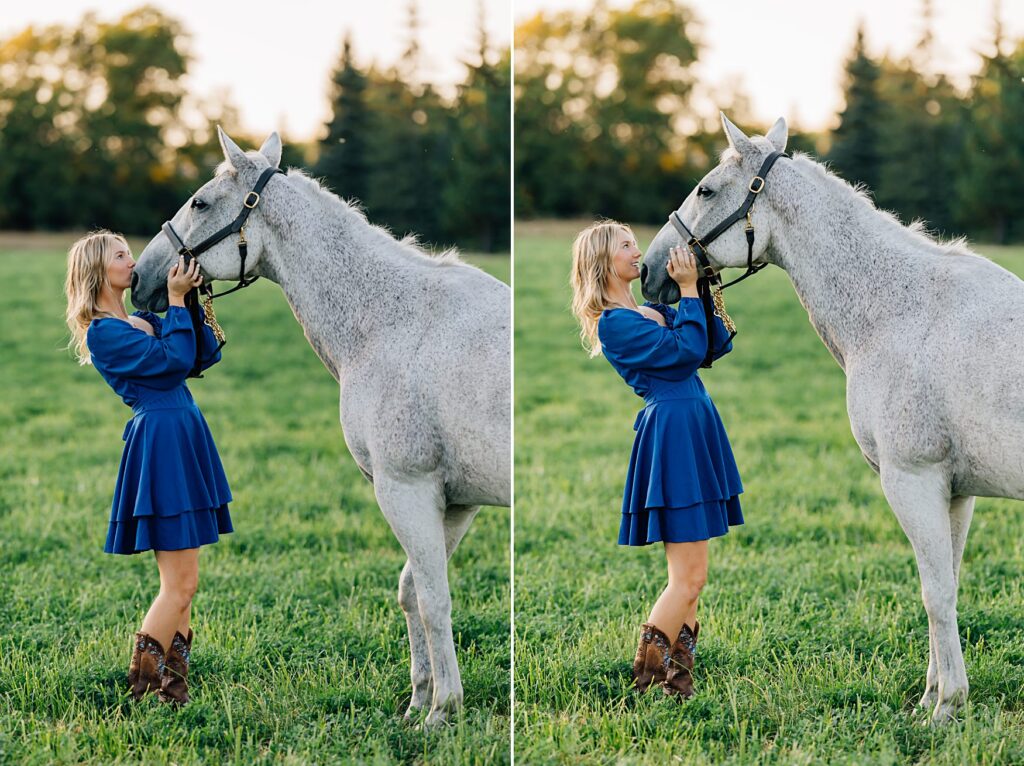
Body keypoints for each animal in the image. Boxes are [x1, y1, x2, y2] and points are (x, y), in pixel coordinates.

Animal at [130, 128, 509, 729]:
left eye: (200, 203)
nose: (141, 278)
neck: (390, 320)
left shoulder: (407, 488)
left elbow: (433, 600)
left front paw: (442, 710)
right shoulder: (455, 502)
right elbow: (413, 591)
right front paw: (419, 700)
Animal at [643, 113, 1019, 725]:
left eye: (705, 191)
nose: (649, 270)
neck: (898, 309)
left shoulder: (912, 480)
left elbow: (934, 592)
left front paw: (946, 707)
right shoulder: (955, 491)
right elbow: (946, 585)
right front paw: (931, 696)